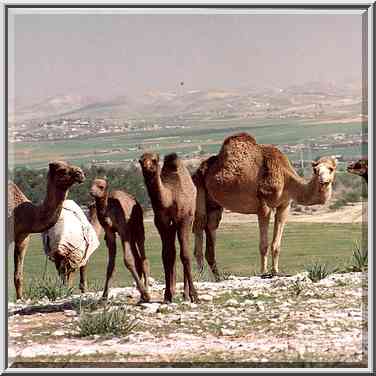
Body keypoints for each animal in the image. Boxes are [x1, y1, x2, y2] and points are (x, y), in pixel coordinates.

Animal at [140, 152, 200, 302]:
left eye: (154, 160)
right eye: (140, 161)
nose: (147, 167)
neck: (170, 197)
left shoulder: (183, 221)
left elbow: (185, 255)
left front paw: (194, 295)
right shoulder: (162, 224)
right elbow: (166, 255)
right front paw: (167, 295)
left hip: (190, 220)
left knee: (185, 252)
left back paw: (186, 294)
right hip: (172, 228)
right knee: (172, 253)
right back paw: (174, 292)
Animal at [192, 134, 336, 278]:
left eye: (331, 169)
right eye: (316, 170)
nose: (323, 180)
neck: (285, 177)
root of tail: (199, 170)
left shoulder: (284, 206)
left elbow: (276, 244)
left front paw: (276, 271)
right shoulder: (263, 206)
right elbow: (264, 245)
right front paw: (263, 272)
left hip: (214, 203)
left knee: (211, 225)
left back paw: (218, 276)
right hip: (198, 188)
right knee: (199, 224)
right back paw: (199, 276)